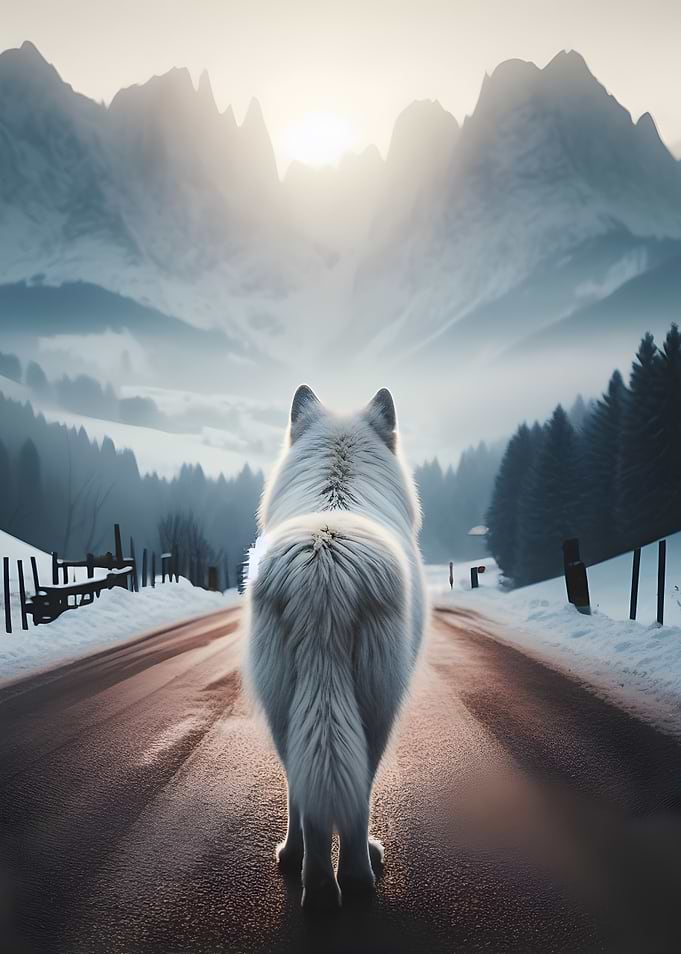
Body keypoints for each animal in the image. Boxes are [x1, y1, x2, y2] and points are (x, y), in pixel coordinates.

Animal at [245, 385, 427, 909]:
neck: (337, 482)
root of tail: (324, 566)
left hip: (283, 708)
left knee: (303, 790)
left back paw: (312, 879)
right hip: (379, 707)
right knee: (357, 797)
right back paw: (357, 878)